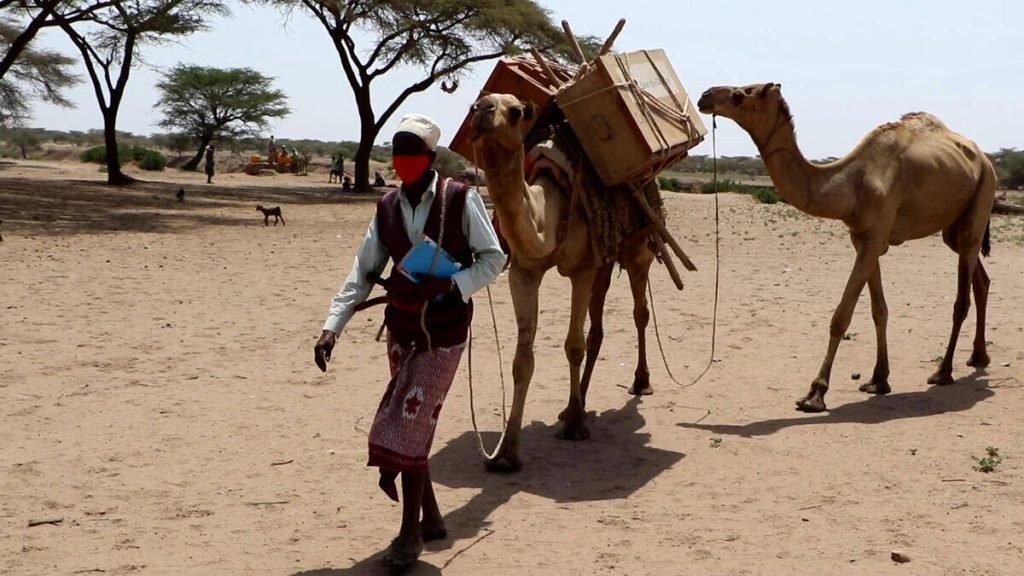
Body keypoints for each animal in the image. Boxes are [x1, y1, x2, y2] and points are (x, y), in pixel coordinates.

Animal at [468, 93, 658, 472]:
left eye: (516, 112)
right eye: (476, 104)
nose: (482, 111)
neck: (548, 211)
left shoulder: (581, 270)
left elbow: (573, 345)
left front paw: (574, 428)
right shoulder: (524, 270)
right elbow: (522, 359)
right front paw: (507, 452)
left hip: (637, 250)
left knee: (639, 313)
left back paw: (639, 383)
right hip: (604, 262)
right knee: (597, 329)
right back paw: (577, 401)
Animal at [697, 83, 997, 412]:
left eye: (741, 95)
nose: (704, 96)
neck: (850, 183)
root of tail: (984, 159)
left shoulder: (874, 238)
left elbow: (841, 317)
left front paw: (815, 393)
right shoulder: (863, 239)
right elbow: (879, 310)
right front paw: (878, 380)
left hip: (983, 193)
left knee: (962, 298)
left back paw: (943, 371)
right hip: (954, 226)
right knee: (980, 280)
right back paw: (978, 357)